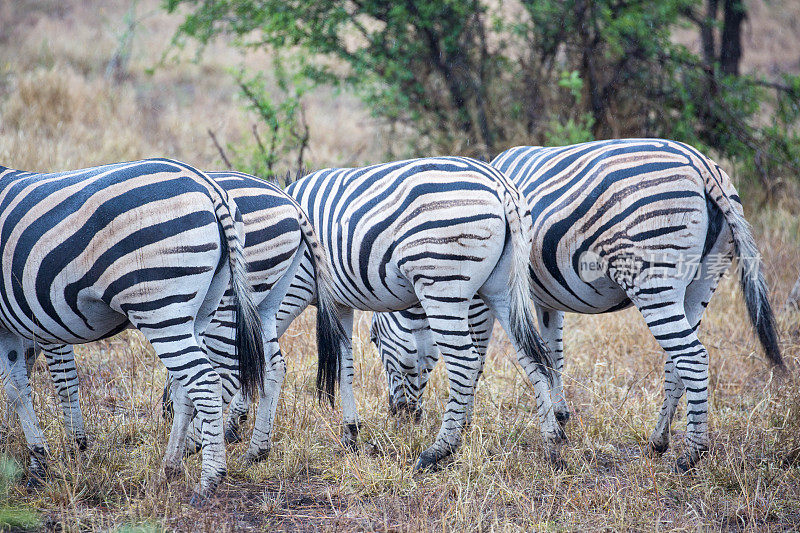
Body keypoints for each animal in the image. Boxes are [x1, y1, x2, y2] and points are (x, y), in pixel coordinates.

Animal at [200, 157, 564, 470]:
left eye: (375, 339)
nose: (399, 413)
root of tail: (502, 187)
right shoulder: (340, 302)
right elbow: (345, 365)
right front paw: (350, 433)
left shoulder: (292, 290)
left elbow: (253, 357)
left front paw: (236, 425)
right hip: (502, 288)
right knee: (532, 355)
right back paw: (551, 442)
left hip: (442, 281)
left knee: (466, 363)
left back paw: (438, 451)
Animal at [368, 138, 780, 470]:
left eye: (373, 340)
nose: (399, 417)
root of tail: (704, 165)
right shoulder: (545, 299)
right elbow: (552, 353)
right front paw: (560, 418)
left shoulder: (480, 297)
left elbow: (477, 358)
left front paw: (464, 423)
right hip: (701, 284)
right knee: (676, 361)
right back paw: (659, 441)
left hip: (652, 278)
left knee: (692, 357)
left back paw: (691, 454)